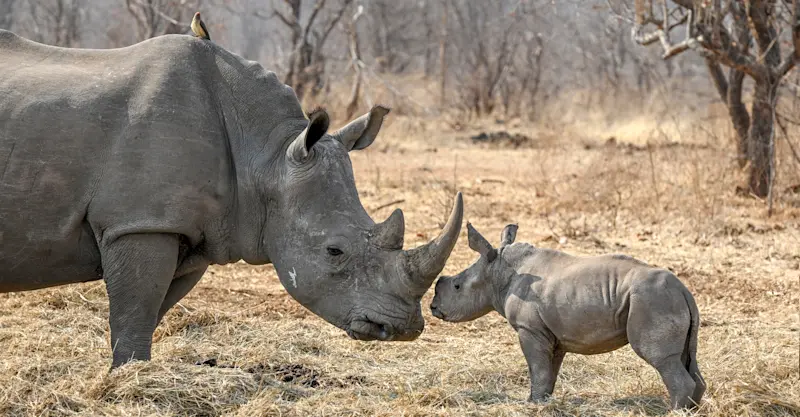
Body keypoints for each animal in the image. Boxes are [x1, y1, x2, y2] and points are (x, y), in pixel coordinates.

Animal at [0, 30, 464, 367]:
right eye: (334, 251)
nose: (401, 328)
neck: (266, 153)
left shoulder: (191, 232)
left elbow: (149, 315)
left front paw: (131, 375)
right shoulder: (140, 223)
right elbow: (134, 315)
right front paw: (128, 381)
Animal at [430, 223, 705, 410]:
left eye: (457, 287)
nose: (433, 307)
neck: (499, 271)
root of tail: (684, 290)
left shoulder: (529, 329)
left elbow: (538, 368)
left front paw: (533, 405)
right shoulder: (552, 333)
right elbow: (548, 370)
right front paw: (540, 401)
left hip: (652, 300)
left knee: (660, 357)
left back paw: (673, 411)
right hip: (665, 300)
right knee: (687, 358)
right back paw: (691, 409)